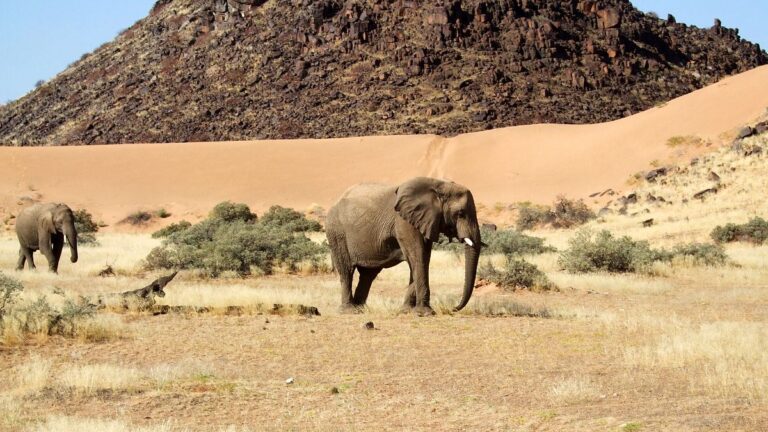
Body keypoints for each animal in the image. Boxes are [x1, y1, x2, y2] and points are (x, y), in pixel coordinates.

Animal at [328, 177, 484, 316]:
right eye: (460, 214)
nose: (453, 308)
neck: (439, 184)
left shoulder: (424, 220)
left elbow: (422, 258)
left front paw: (407, 311)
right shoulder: (404, 221)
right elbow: (418, 256)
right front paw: (425, 313)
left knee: (368, 275)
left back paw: (360, 309)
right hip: (337, 233)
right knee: (347, 271)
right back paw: (349, 311)